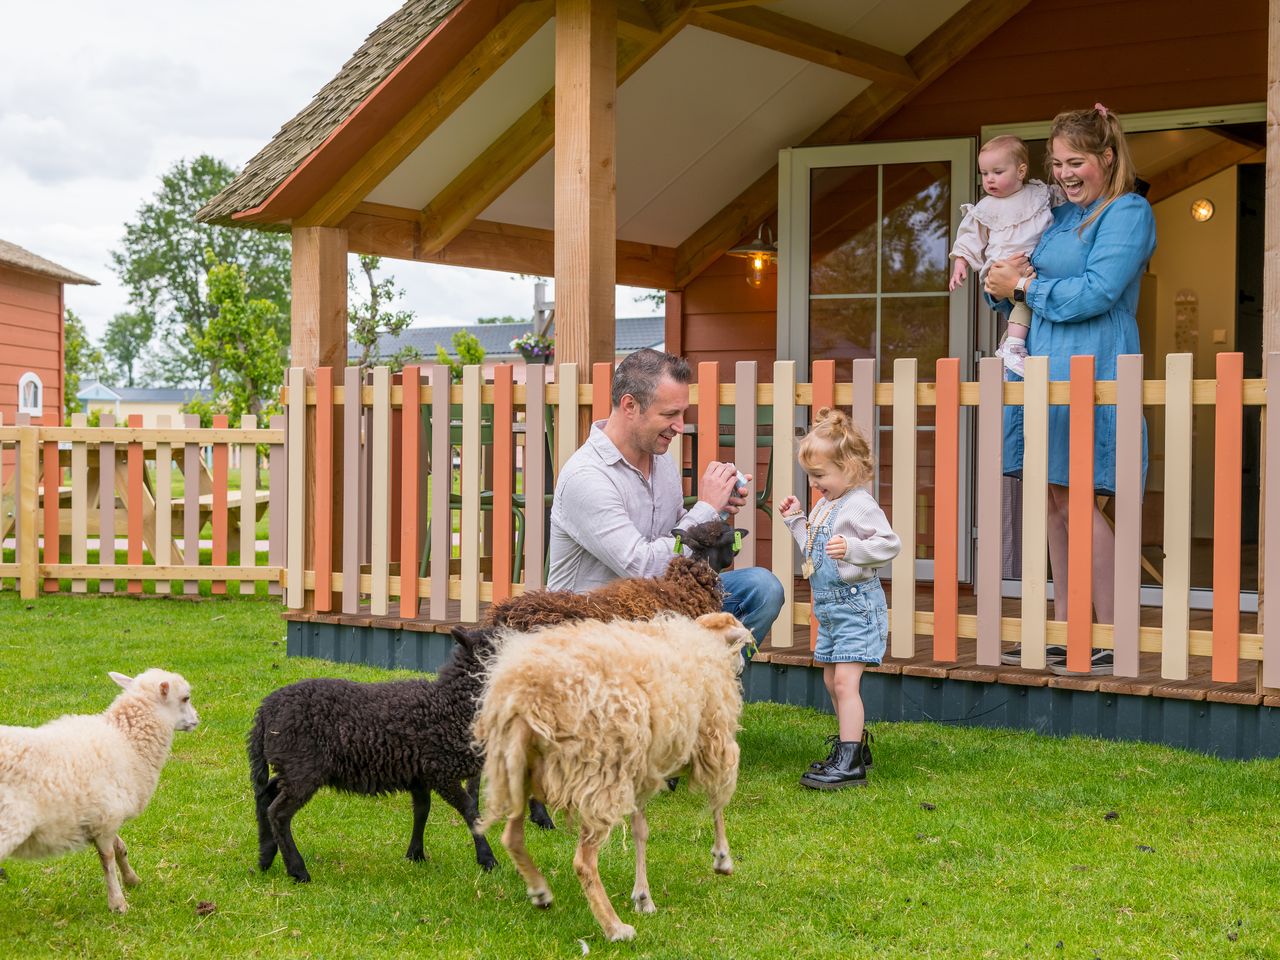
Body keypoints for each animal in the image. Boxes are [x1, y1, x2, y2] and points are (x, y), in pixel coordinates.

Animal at [0, 670, 198, 911]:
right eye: (185, 698)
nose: (197, 719)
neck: (128, 743)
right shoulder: (106, 818)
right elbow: (108, 859)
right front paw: (118, 903)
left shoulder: (104, 817)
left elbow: (121, 847)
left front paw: (132, 880)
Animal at [248, 627, 550, 885]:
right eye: (496, 648)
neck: (450, 704)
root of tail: (265, 710)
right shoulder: (442, 770)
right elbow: (469, 810)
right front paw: (487, 859)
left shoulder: (420, 773)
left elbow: (422, 810)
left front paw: (415, 854)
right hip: (302, 768)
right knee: (278, 812)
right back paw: (298, 870)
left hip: (290, 765)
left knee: (265, 795)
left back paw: (265, 856)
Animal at [473, 611, 747, 942]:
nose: (742, 666)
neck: (704, 643)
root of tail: (528, 692)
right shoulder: (714, 741)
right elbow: (719, 803)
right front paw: (722, 858)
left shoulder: (642, 767)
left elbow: (641, 830)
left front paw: (643, 896)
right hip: (599, 774)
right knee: (583, 861)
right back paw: (614, 927)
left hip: (518, 766)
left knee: (512, 838)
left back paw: (540, 892)